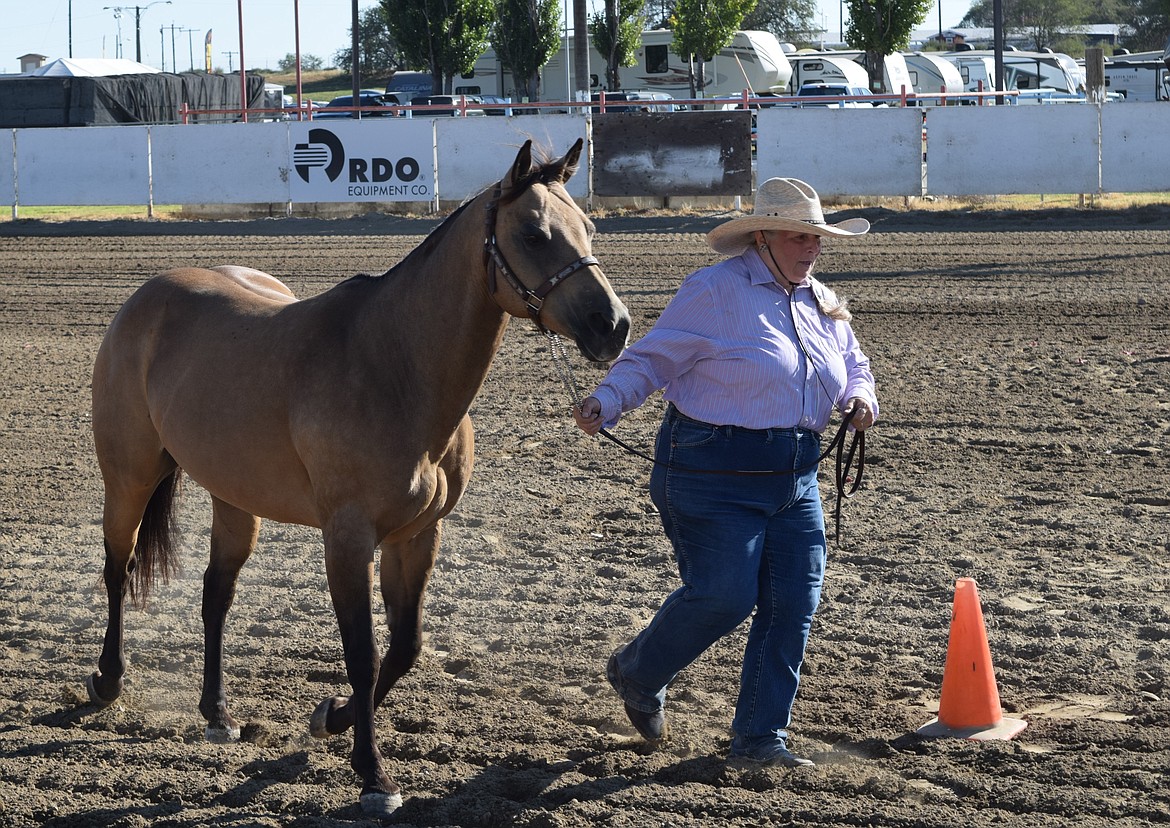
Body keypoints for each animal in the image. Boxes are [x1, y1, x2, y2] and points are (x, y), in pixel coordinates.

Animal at [84, 139, 631, 818]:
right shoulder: (347, 539)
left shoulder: (415, 536)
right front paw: (373, 774)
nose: (613, 325)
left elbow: (405, 647)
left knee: (216, 594)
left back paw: (217, 713)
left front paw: (334, 719)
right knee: (118, 567)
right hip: (129, 477)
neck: (393, 367)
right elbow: (364, 654)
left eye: (589, 228)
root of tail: (147, 296)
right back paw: (108, 679)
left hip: (235, 498)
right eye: (532, 233)